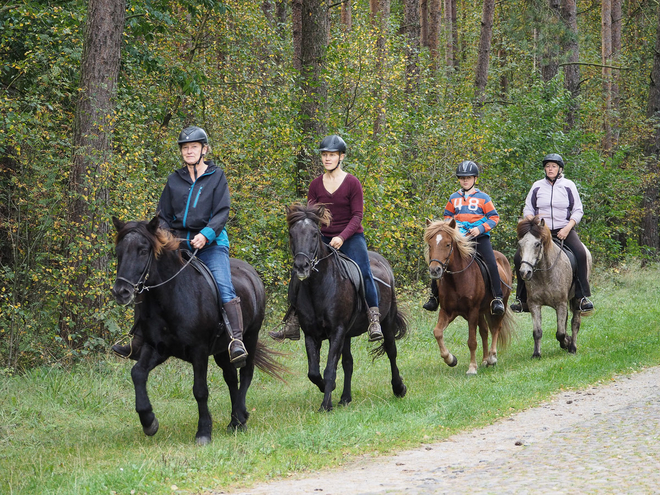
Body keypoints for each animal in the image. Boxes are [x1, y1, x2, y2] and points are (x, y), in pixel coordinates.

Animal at [111, 217, 282, 446]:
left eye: (143, 250)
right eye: (118, 251)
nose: (121, 292)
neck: (171, 296)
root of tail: (251, 273)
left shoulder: (198, 351)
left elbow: (200, 390)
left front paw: (203, 431)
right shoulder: (156, 348)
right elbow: (137, 373)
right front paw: (149, 421)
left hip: (250, 337)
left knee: (246, 373)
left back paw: (239, 418)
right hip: (222, 350)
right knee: (231, 378)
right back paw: (235, 420)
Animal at [284, 202, 408, 410]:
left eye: (315, 234)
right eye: (292, 234)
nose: (302, 266)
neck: (319, 286)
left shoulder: (337, 331)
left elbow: (329, 369)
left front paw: (326, 405)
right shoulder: (311, 334)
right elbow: (314, 372)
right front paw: (328, 389)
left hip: (387, 321)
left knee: (391, 351)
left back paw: (399, 388)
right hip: (348, 334)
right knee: (348, 362)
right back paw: (345, 398)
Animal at [422, 221, 516, 376]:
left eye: (448, 244)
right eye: (430, 245)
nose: (435, 270)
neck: (457, 279)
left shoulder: (472, 311)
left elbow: (472, 341)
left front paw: (472, 367)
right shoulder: (447, 311)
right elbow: (437, 332)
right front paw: (450, 359)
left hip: (500, 305)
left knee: (495, 328)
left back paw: (492, 357)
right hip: (480, 312)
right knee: (484, 331)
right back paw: (484, 360)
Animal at [516, 217, 592, 356]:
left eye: (537, 244)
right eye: (520, 244)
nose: (525, 272)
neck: (544, 274)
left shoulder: (561, 303)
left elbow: (560, 333)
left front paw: (566, 342)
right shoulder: (534, 304)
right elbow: (537, 332)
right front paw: (536, 354)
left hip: (577, 300)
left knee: (575, 323)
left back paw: (572, 347)